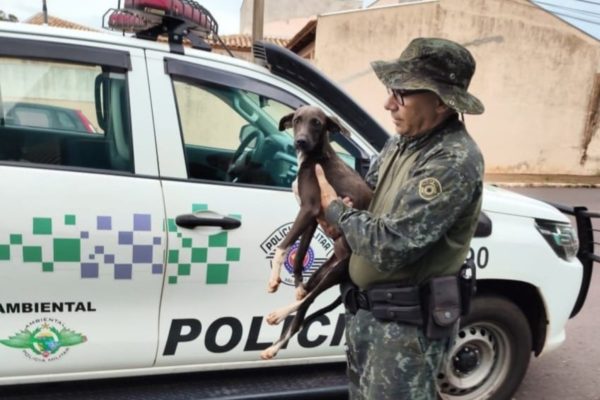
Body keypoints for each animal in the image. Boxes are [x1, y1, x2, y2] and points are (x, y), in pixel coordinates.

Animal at [262, 105, 372, 360]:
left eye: (317, 123)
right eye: (296, 120)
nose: (300, 141)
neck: (317, 157)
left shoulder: (308, 208)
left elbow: (283, 245)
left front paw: (274, 280)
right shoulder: (312, 218)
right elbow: (299, 254)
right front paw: (297, 285)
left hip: (337, 271)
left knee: (308, 301)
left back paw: (278, 315)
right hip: (323, 273)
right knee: (303, 308)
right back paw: (273, 347)